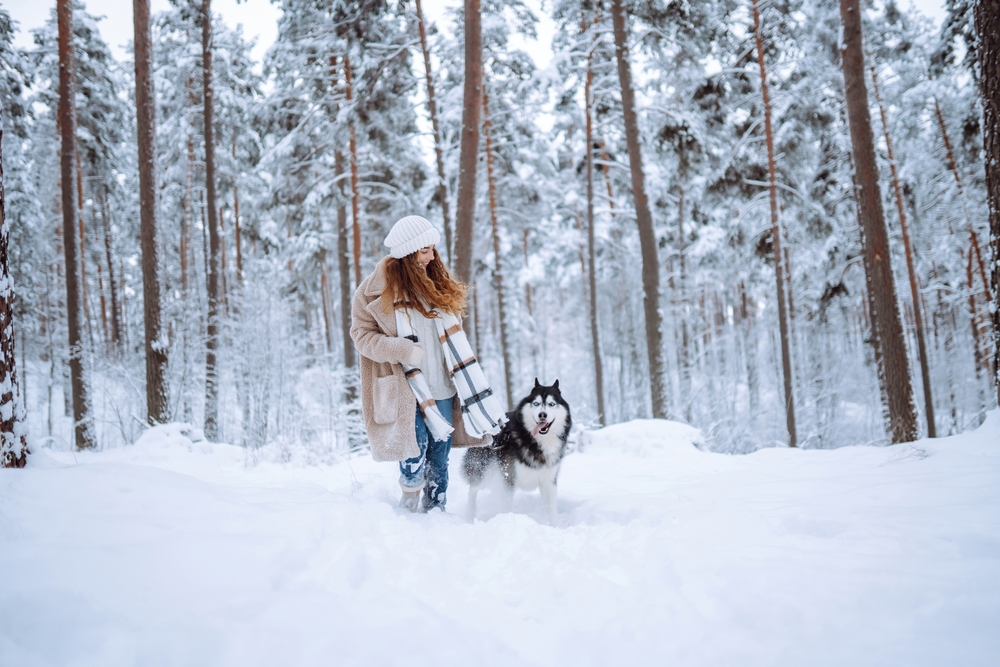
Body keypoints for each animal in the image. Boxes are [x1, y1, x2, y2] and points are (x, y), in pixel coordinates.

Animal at [460, 378, 572, 524]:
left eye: (551, 404)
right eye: (536, 403)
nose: (542, 414)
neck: (537, 441)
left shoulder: (549, 481)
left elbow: (551, 510)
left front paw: (553, 525)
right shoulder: (508, 479)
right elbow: (506, 506)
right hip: (485, 473)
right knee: (473, 489)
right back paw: (469, 516)